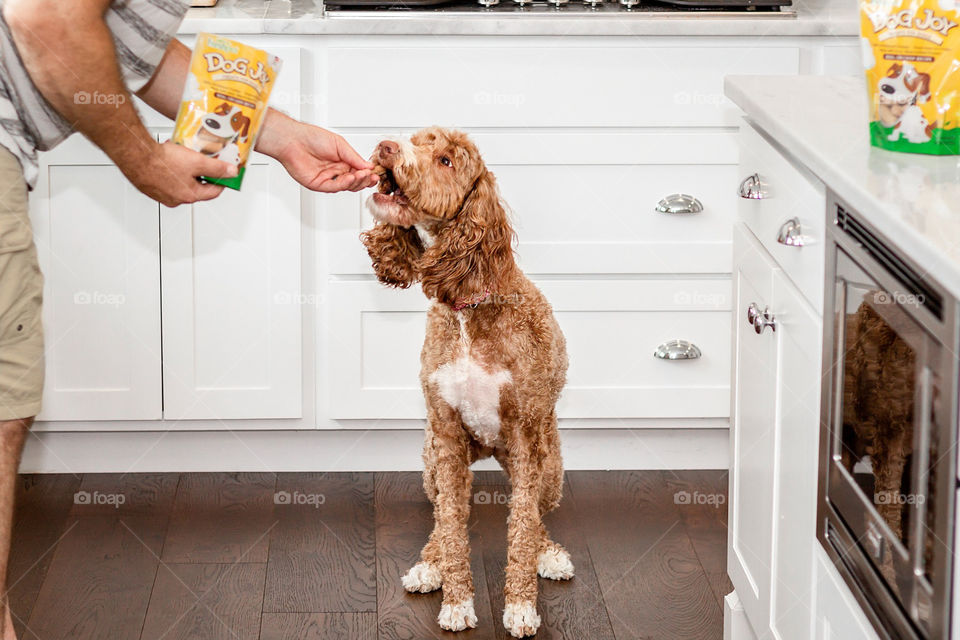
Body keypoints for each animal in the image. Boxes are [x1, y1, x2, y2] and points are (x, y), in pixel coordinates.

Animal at [360, 127, 568, 636]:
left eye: (447, 160)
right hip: (430, 462)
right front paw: (456, 602)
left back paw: (549, 553)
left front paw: (520, 606)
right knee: (439, 516)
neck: (469, 309)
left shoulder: (526, 438)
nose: (386, 146)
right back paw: (427, 563)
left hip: (550, 466)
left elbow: (521, 529)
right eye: (414, 138)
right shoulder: (447, 435)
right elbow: (453, 527)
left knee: (537, 517)